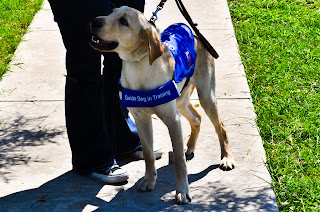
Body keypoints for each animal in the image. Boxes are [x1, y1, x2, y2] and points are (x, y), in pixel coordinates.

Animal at [90, 6, 235, 204]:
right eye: (112, 11)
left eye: (124, 22)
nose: (95, 21)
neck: (139, 66)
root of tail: (193, 31)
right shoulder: (141, 119)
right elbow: (148, 154)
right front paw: (149, 181)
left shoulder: (173, 119)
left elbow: (180, 162)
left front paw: (182, 191)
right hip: (181, 101)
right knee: (197, 118)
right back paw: (189, 147)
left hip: (206, 95)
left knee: (220, 126)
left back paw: (226, 158)